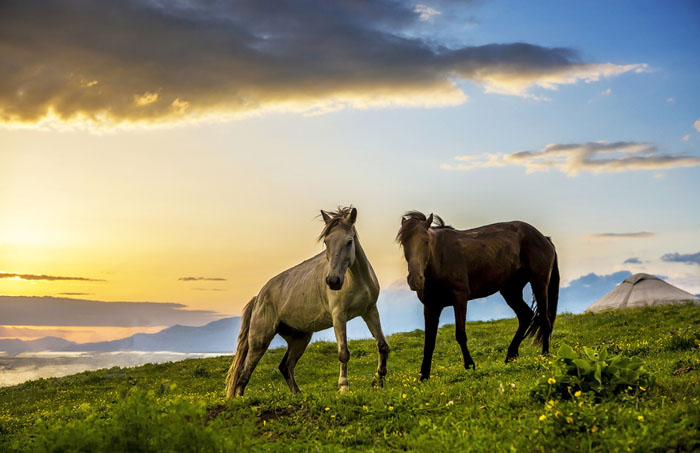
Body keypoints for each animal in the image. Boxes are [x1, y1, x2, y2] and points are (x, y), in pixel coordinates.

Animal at [226, 207, 388, 394]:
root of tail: (258, 297)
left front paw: (379, 380)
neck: (356, 280)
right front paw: (343, 387)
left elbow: (382, 345)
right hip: (260, 339)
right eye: (326, 242)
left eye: (349, 241)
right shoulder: (339, 316)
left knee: (285, 366)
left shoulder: (370, 310)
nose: (333, 281)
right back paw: (240, 397)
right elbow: (343, 353)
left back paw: (298, 394)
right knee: (245, 372)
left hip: (300, 338)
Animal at [400, 211, 556, 378]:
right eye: (403, 243)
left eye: (426, 241)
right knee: (526, 315)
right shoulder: (431, 306)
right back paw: (510, 356)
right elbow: (429, 342)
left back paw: (545, 356)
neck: (440, 260)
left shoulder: (460, 299)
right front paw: (424, 375)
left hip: (539, 283)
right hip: (510, 290)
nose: (415, 279)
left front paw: (469, 365)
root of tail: (544, 238)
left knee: (545, 319)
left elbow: (460, 334)